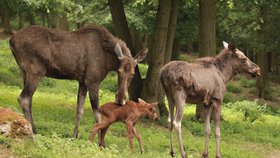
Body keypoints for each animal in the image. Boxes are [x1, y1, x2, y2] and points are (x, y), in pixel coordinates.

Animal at [8, 24, 149, 137]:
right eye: (118, 71)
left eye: (132, 74)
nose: (120, 99)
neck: (108, 60)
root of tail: (11, 40)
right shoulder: (93, 81)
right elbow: (98, 115)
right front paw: (100, 143)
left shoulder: (82, 81)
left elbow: (79, 111)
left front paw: (74, 136)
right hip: (36, 72)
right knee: (24, 98)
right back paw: (32, 132)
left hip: (24, 72)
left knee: (29, 100)